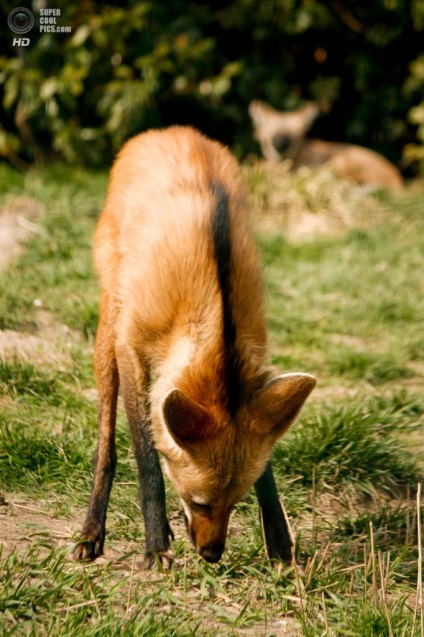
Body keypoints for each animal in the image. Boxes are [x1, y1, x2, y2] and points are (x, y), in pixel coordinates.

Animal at [74, 124, 316, 568]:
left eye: (234, 503)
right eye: (198, 501)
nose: (212, 554)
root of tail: (169, 130)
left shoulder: (254, 362)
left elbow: (264, 462)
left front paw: (279, 539)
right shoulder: (132, 346)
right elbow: (147, 458)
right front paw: (156, 546)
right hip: (109, 323)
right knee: (106, 445)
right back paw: (91, 531)